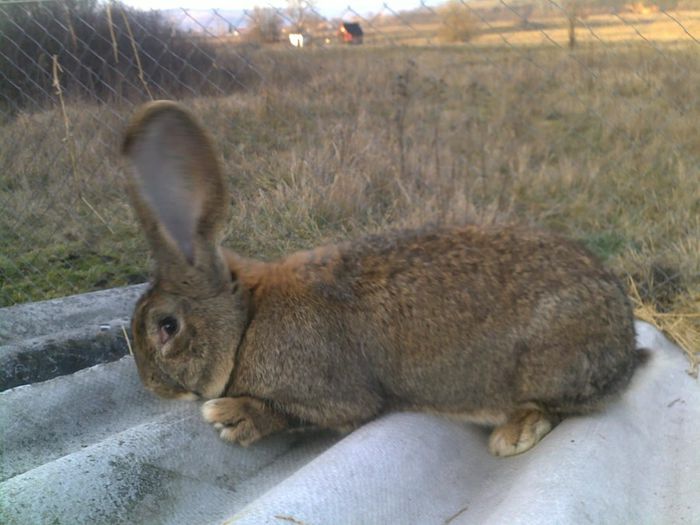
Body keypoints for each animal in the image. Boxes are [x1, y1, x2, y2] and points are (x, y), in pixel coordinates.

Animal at [119, 101, 644, 454]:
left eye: (167, 327)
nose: (151, 386)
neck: (248, 318)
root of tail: (625, 339)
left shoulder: (333, 394)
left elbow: (311, 413)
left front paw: (231, 416)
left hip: (551, 359)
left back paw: (513, 434)